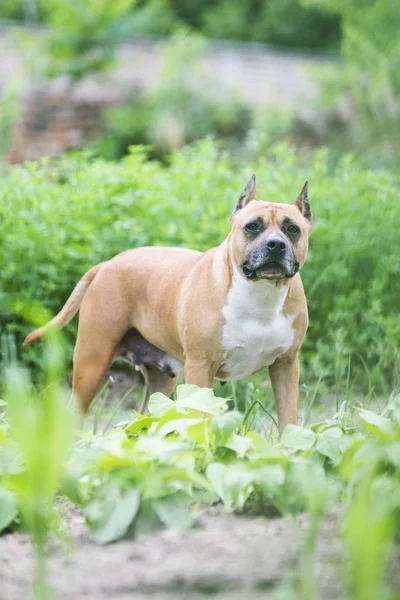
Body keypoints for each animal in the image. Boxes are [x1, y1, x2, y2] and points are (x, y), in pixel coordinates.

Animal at [24, 176, 312, 434]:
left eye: (292, 229)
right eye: (252, 227)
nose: (275, 244)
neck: (260, 293)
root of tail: (107, 264)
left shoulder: (286, 367)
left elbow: (288, 421)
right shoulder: (200, 369)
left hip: (161, 380)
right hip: (91, 363)